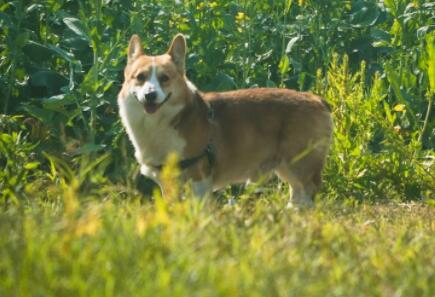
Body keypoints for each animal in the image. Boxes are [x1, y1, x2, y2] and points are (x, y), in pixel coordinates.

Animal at [117, 33, 332, 207]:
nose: (150, 95)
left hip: (301, 164)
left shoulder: (199, 178)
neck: (161, 122)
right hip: (287, 167)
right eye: (140, 77)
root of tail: (318, 100)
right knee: (296, 194)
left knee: (306, 194)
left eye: (164, 78)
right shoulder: (167, 182)